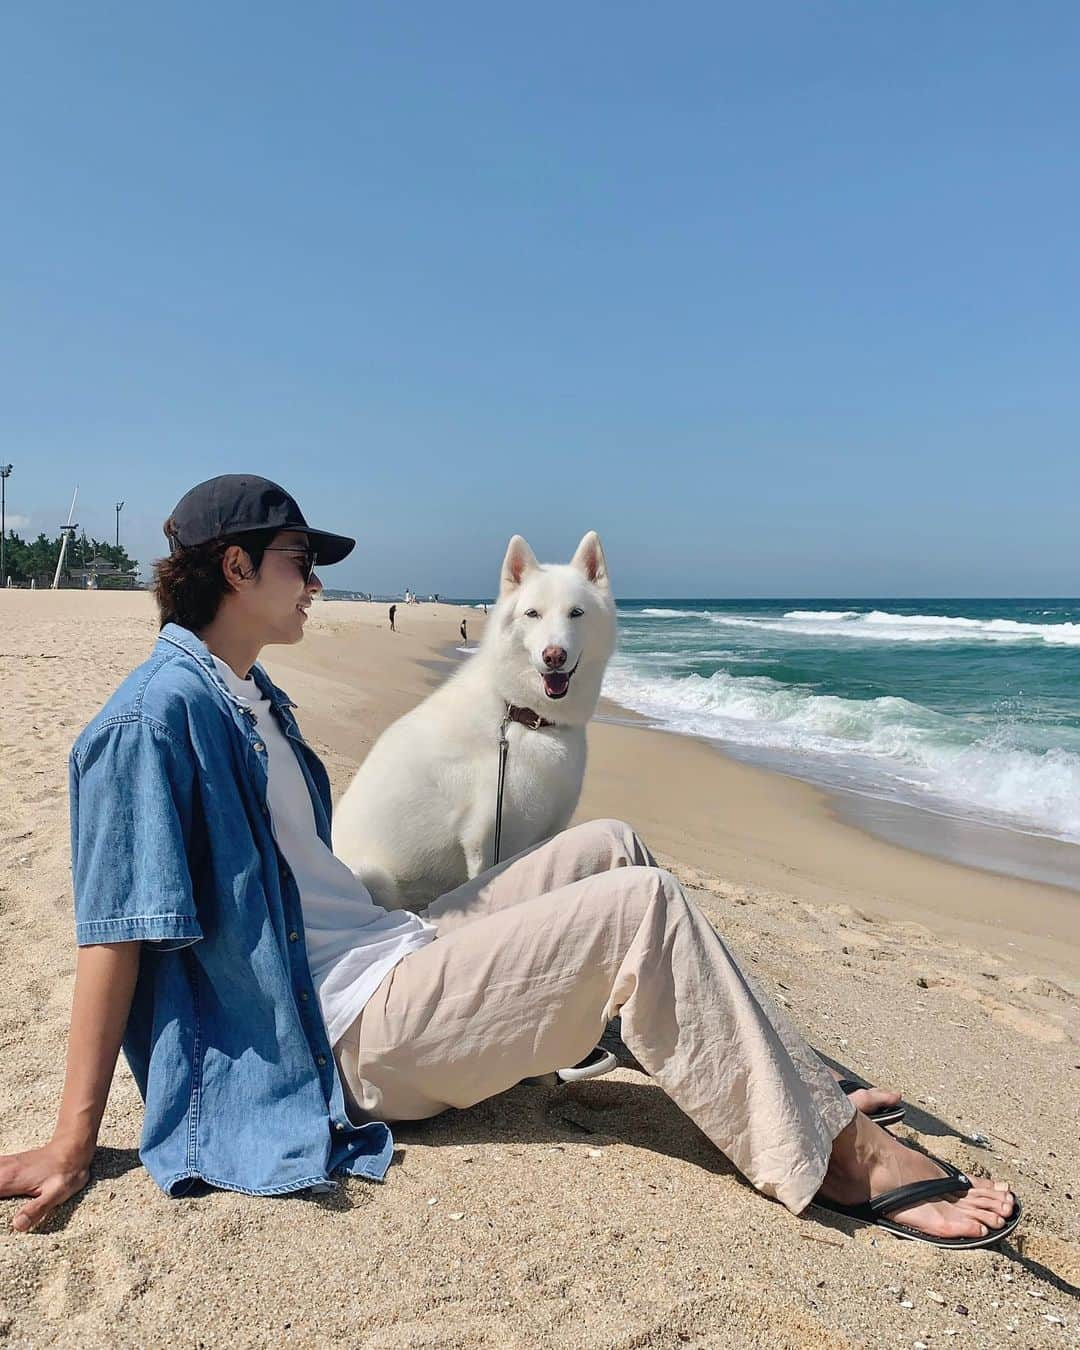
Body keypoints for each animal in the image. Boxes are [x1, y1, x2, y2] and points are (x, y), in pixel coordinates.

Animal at [333, 526, 612, 907]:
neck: (522, 715)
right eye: (533, 614)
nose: (554, 656)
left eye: (576, 613)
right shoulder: (487, 840)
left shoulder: (550, 829)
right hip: (374, 876)